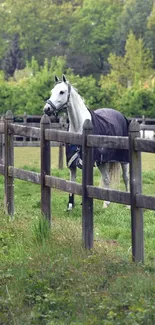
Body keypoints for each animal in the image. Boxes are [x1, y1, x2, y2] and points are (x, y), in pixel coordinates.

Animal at [44, 74, 130, 208]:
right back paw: (106, 204)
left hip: (123, 159)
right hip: (103, 162)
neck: (79, 126)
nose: (47, 109)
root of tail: (121, 116)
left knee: (125, 177)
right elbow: (72, 183)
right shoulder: (72, 163)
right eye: (52, 91)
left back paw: (127, 205)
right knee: (106, 179)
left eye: (62, 91)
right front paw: (70, 205)